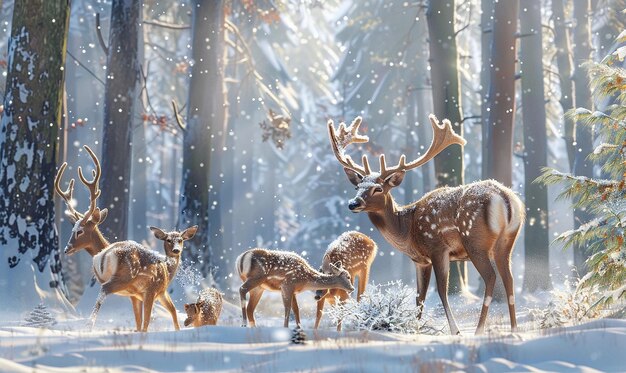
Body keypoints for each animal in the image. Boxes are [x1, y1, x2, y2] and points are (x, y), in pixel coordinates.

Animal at [326, 114, 520, 334]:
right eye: (358, 187)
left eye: (378, 189)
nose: (353, 203)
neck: (407, 230)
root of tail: (504, 197)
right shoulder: (420, 261)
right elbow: (420, 297)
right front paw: (415, 329)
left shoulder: (437, 249)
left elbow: (441, 292)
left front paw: (454, 330)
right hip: (507, 241)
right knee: (509, 279)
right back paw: (514, 330)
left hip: (475, 242)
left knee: (491, 277)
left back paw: (478, 330)